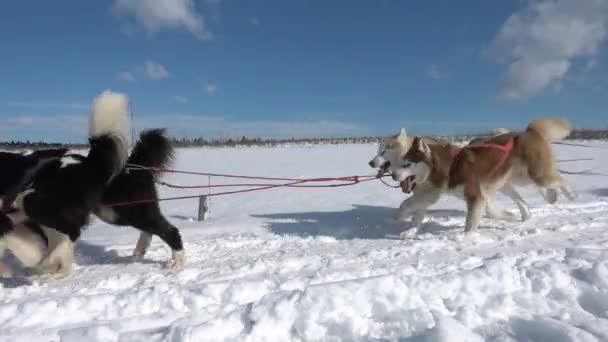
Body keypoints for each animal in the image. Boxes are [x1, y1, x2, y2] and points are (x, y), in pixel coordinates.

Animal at [384, 119, 576, 236]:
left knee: (559, 179)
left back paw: (570, 195)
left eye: (407, 164)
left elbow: (471, 220)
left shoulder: (475, 195)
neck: (450, 165)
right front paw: (410, 230)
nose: (393, 175)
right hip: (514, 181)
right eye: (397, 163)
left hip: (534, 175)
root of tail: (528, 131)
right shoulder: (471, 193)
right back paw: (536, 208)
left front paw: (466, 237)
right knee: (527, 197)